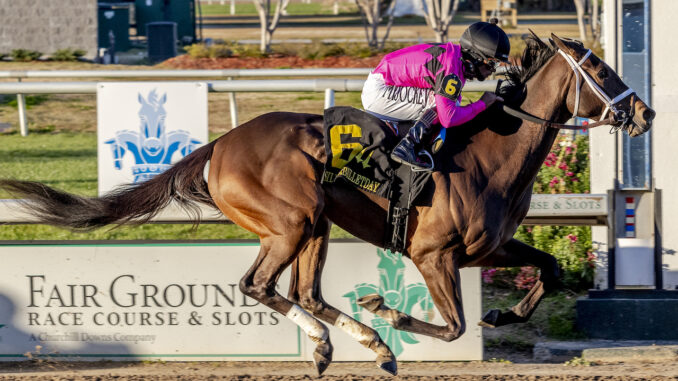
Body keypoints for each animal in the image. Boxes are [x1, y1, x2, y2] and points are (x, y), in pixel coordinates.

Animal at [1, 33, 660, 374]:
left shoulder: (485, 248)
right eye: (601, 70)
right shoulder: (433, 254)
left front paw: (502, 315)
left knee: (305, 293)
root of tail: (219, 144)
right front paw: (390, 309)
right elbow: (451, 327)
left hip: (315, 223)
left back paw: (356, 345)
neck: (487, 155)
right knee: (259, 286)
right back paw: (340, 341)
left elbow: (546, 270)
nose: (647, 112)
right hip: (289, 221)